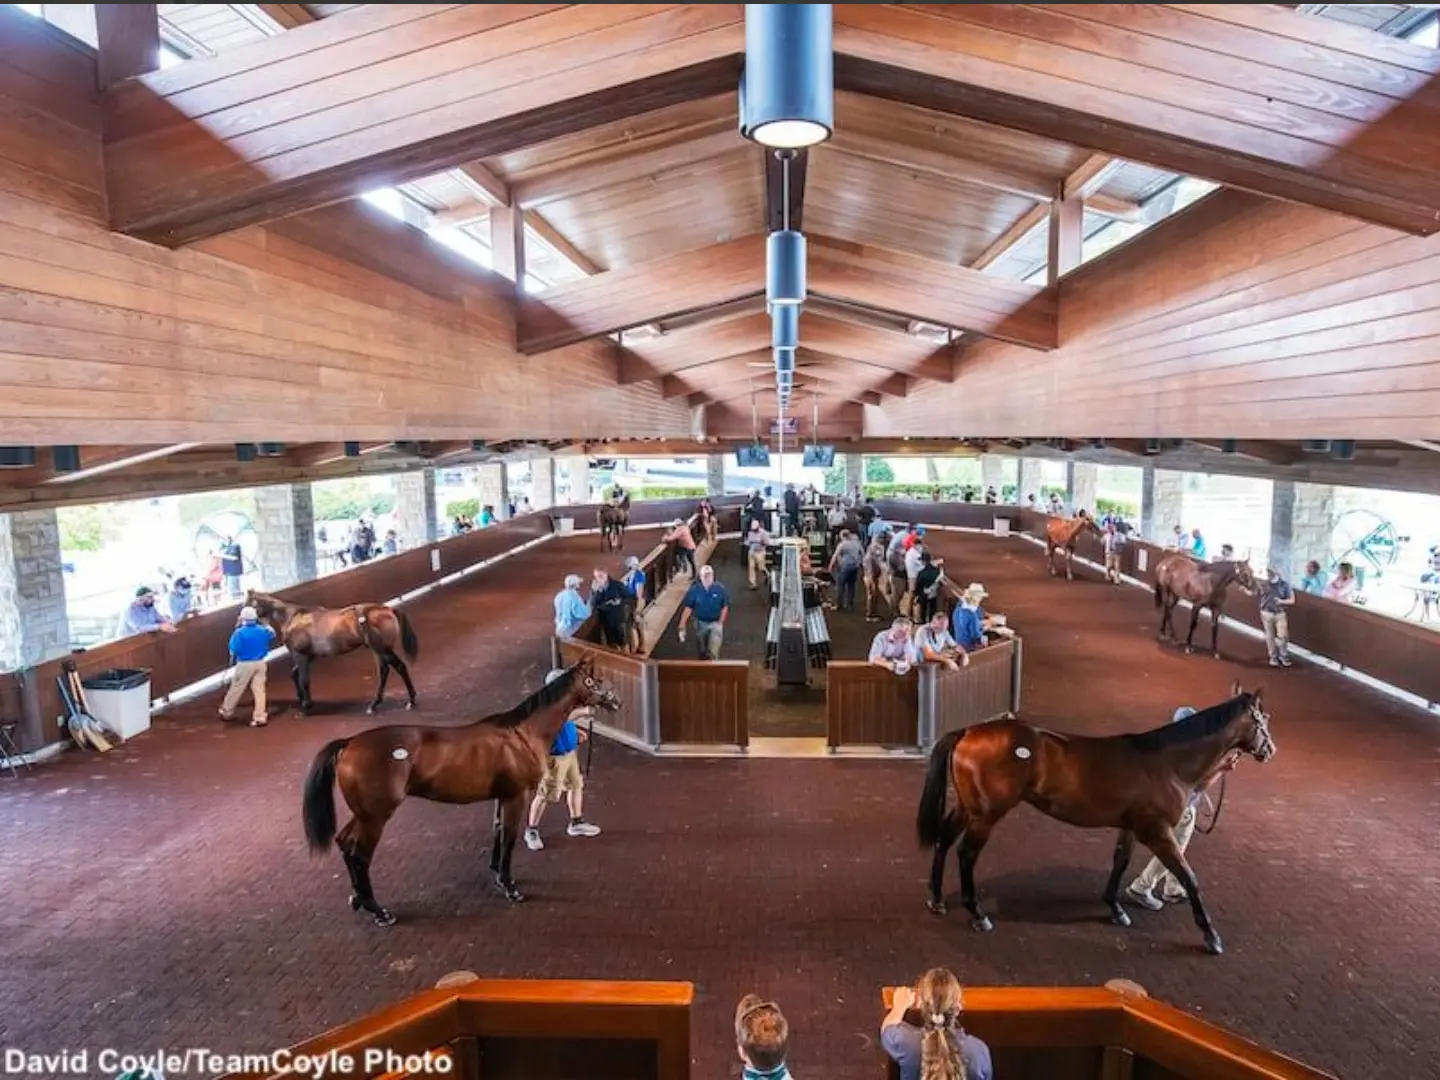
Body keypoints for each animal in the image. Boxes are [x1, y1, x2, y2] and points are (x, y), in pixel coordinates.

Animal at [244, 593, 417, 720]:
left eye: (246, 605)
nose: (240, 623)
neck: (293, 617)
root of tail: (387, 610)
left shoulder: (300, 654)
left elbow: (304, 679)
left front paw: (305, 708)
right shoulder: (311, 655)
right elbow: (294, 674)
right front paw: (302, 700)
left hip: (382, 649)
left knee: (398, 667)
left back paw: (407, 701)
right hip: (378, 650)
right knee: (385, 671)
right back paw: (379, 704)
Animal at [298, 659, 619, 933]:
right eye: (594, 680)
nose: (616, 701)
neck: (521, 734)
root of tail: (349, 743)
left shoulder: (502, 796)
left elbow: (497, 832)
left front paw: (498, 876)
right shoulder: (517, 796)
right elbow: (509, 838)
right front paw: (511, 887)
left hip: (364, 815)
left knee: (344, 843)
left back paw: (357, 900)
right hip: (376, 817)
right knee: (359, 854)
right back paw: (379, 912)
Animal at [915, 685, 1278, 956]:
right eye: (1263, 719)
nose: (1270, 750)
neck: (1168, 763)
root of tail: (968, 731)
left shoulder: (1129, 827)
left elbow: (1120, 862)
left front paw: (1116, 909)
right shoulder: (1157, 832)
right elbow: (1189, 877)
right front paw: (1211, 936)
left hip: (968, 808)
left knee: (944, 840)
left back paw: (936, 899)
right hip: (987, 814)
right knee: (966, 854)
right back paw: (977, 914)